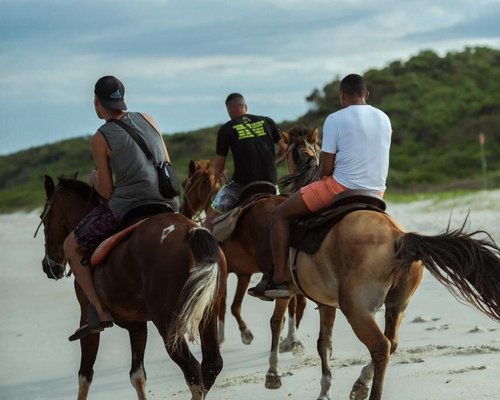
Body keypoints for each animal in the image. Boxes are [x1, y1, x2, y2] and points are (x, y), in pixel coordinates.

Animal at [36, 176, 227, 400]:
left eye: (44, 218)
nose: (48, 266)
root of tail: (191, 231)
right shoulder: (137, 326)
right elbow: (137, 376)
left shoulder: (88, 320)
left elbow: (85, 376)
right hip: (209, 311)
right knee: (211, 365)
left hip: (168, 323)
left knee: (192, 370)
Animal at [180, 159, 304, 354]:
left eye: (186, 183)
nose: (183, 210)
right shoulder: (244, 274)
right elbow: (234, 305)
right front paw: (245, 333)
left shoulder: (223, 272)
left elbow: (221, 304)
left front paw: (224, 336)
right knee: (294, 301)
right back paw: (292, 339)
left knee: (288, 300)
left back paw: (289, 338)